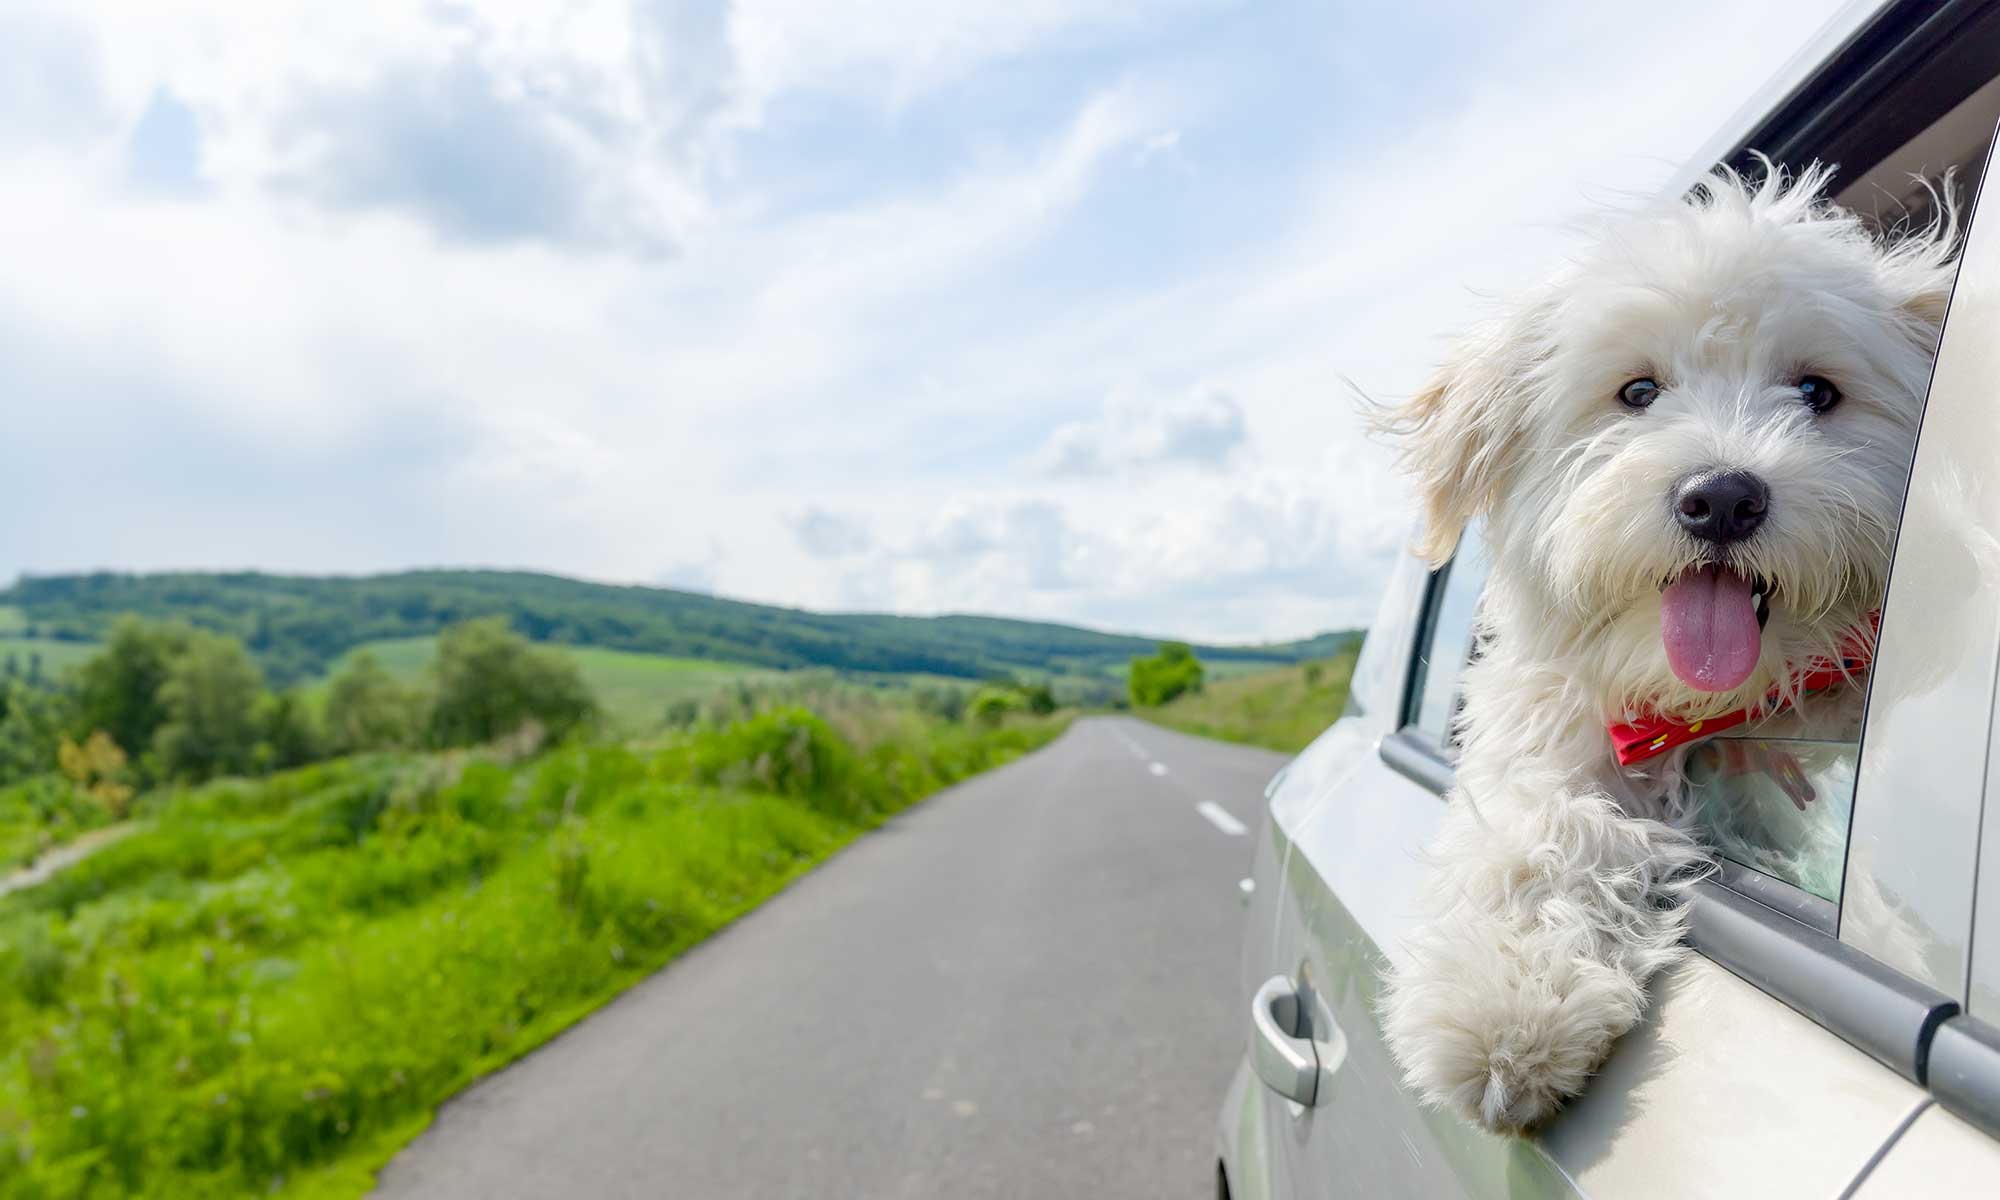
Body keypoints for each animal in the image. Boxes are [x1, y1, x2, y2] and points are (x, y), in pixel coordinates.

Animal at [1376, 166, 1952, 1136]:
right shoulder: (1554, 729)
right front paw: (1503, 1004)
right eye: (1638, 392)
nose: (1720, 497)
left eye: (1817, 392)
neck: (1713, 706)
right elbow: (1542, 826)